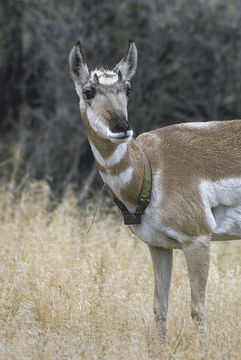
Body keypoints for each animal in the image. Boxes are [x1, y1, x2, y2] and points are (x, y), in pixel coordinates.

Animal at [68, 40, 240, 340]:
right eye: (89, 91)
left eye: (127, 88)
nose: (122, 127)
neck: (150, 166)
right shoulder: (158, 246)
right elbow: (160, 308)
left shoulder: (197, 240)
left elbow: (198, 310)